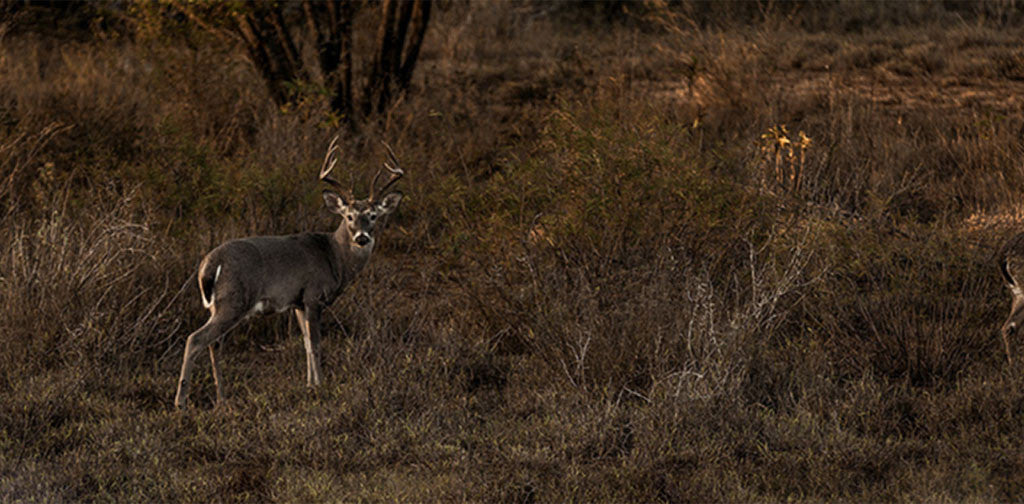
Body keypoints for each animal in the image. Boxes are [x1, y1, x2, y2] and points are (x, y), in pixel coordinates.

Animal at [174, 138, 401, 409]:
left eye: (373, 216)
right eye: (349, 216)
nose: (362, 238)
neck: (334, 256)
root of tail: (209, 264)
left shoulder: (298, 303)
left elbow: (305, 343)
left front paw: (309, 385)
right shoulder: (313, 295)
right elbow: (316, 344)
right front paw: (321, 386)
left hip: (220, 306)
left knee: (214, 344)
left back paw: (222, 398)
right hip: (233, 301)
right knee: (195, 339)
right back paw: (181, 403)